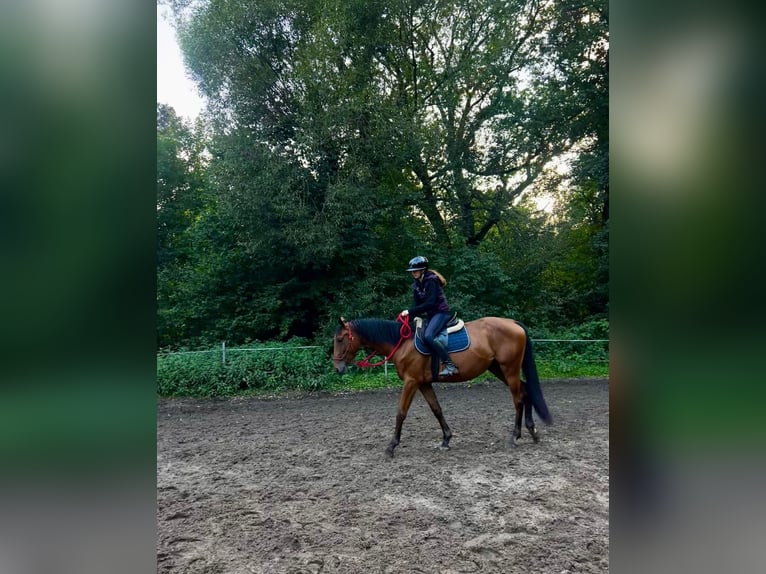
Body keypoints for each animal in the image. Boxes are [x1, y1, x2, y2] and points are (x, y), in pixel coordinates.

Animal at [332, 314, 552, 458]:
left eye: (340, 339)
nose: (337, 368)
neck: (402, 343)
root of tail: (513, 323)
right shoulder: (423, 383)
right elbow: (437, 409)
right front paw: (446, 439)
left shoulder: (411, 381)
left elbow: (401, 412)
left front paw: (391, 446)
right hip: (498, 369)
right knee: (525, 391)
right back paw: (531, 431)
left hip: (509, 369)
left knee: (518, 399)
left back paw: (515, 436)